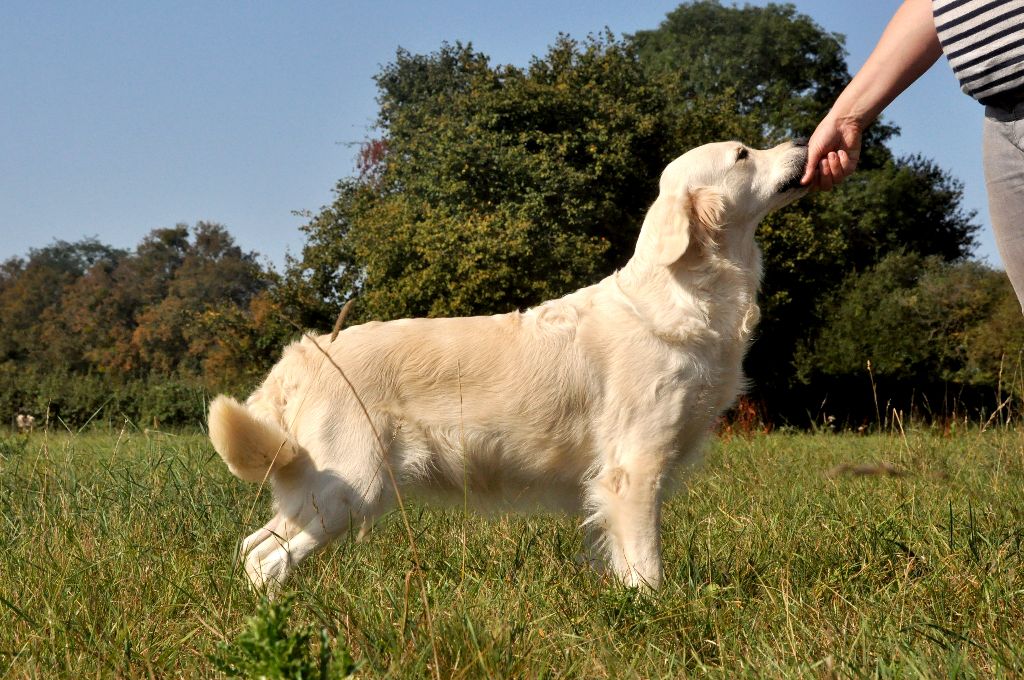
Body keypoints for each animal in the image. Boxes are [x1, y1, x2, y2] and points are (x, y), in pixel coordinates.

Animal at [209, 140, 806, 593]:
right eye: (743, 154)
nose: (803, 142)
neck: (686, 296)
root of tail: (303, 355)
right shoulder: (635, 467)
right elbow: (644, 565)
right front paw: (655, 612)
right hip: (351, 488)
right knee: (268, 560)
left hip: (318, 490)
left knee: (251, 546)